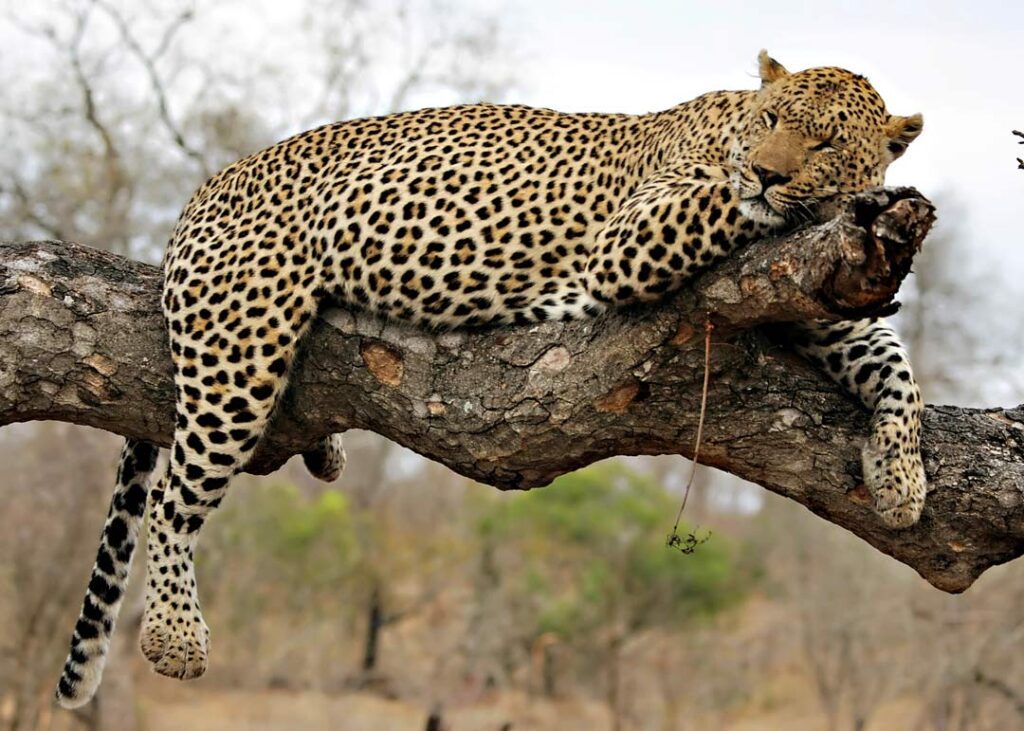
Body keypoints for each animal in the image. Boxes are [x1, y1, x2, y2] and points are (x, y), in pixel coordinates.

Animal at [55, 50, 926, 707]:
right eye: (773, 123)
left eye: (825, 143)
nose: (769, 173)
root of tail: (203, 189)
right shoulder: (633, 238)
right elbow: (726, 203)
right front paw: (841, 194)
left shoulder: (816, 296)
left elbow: (896, 364)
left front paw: (903, 481)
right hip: (241, 341)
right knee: (174, 495)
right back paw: (173, 636)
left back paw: (325, 453)